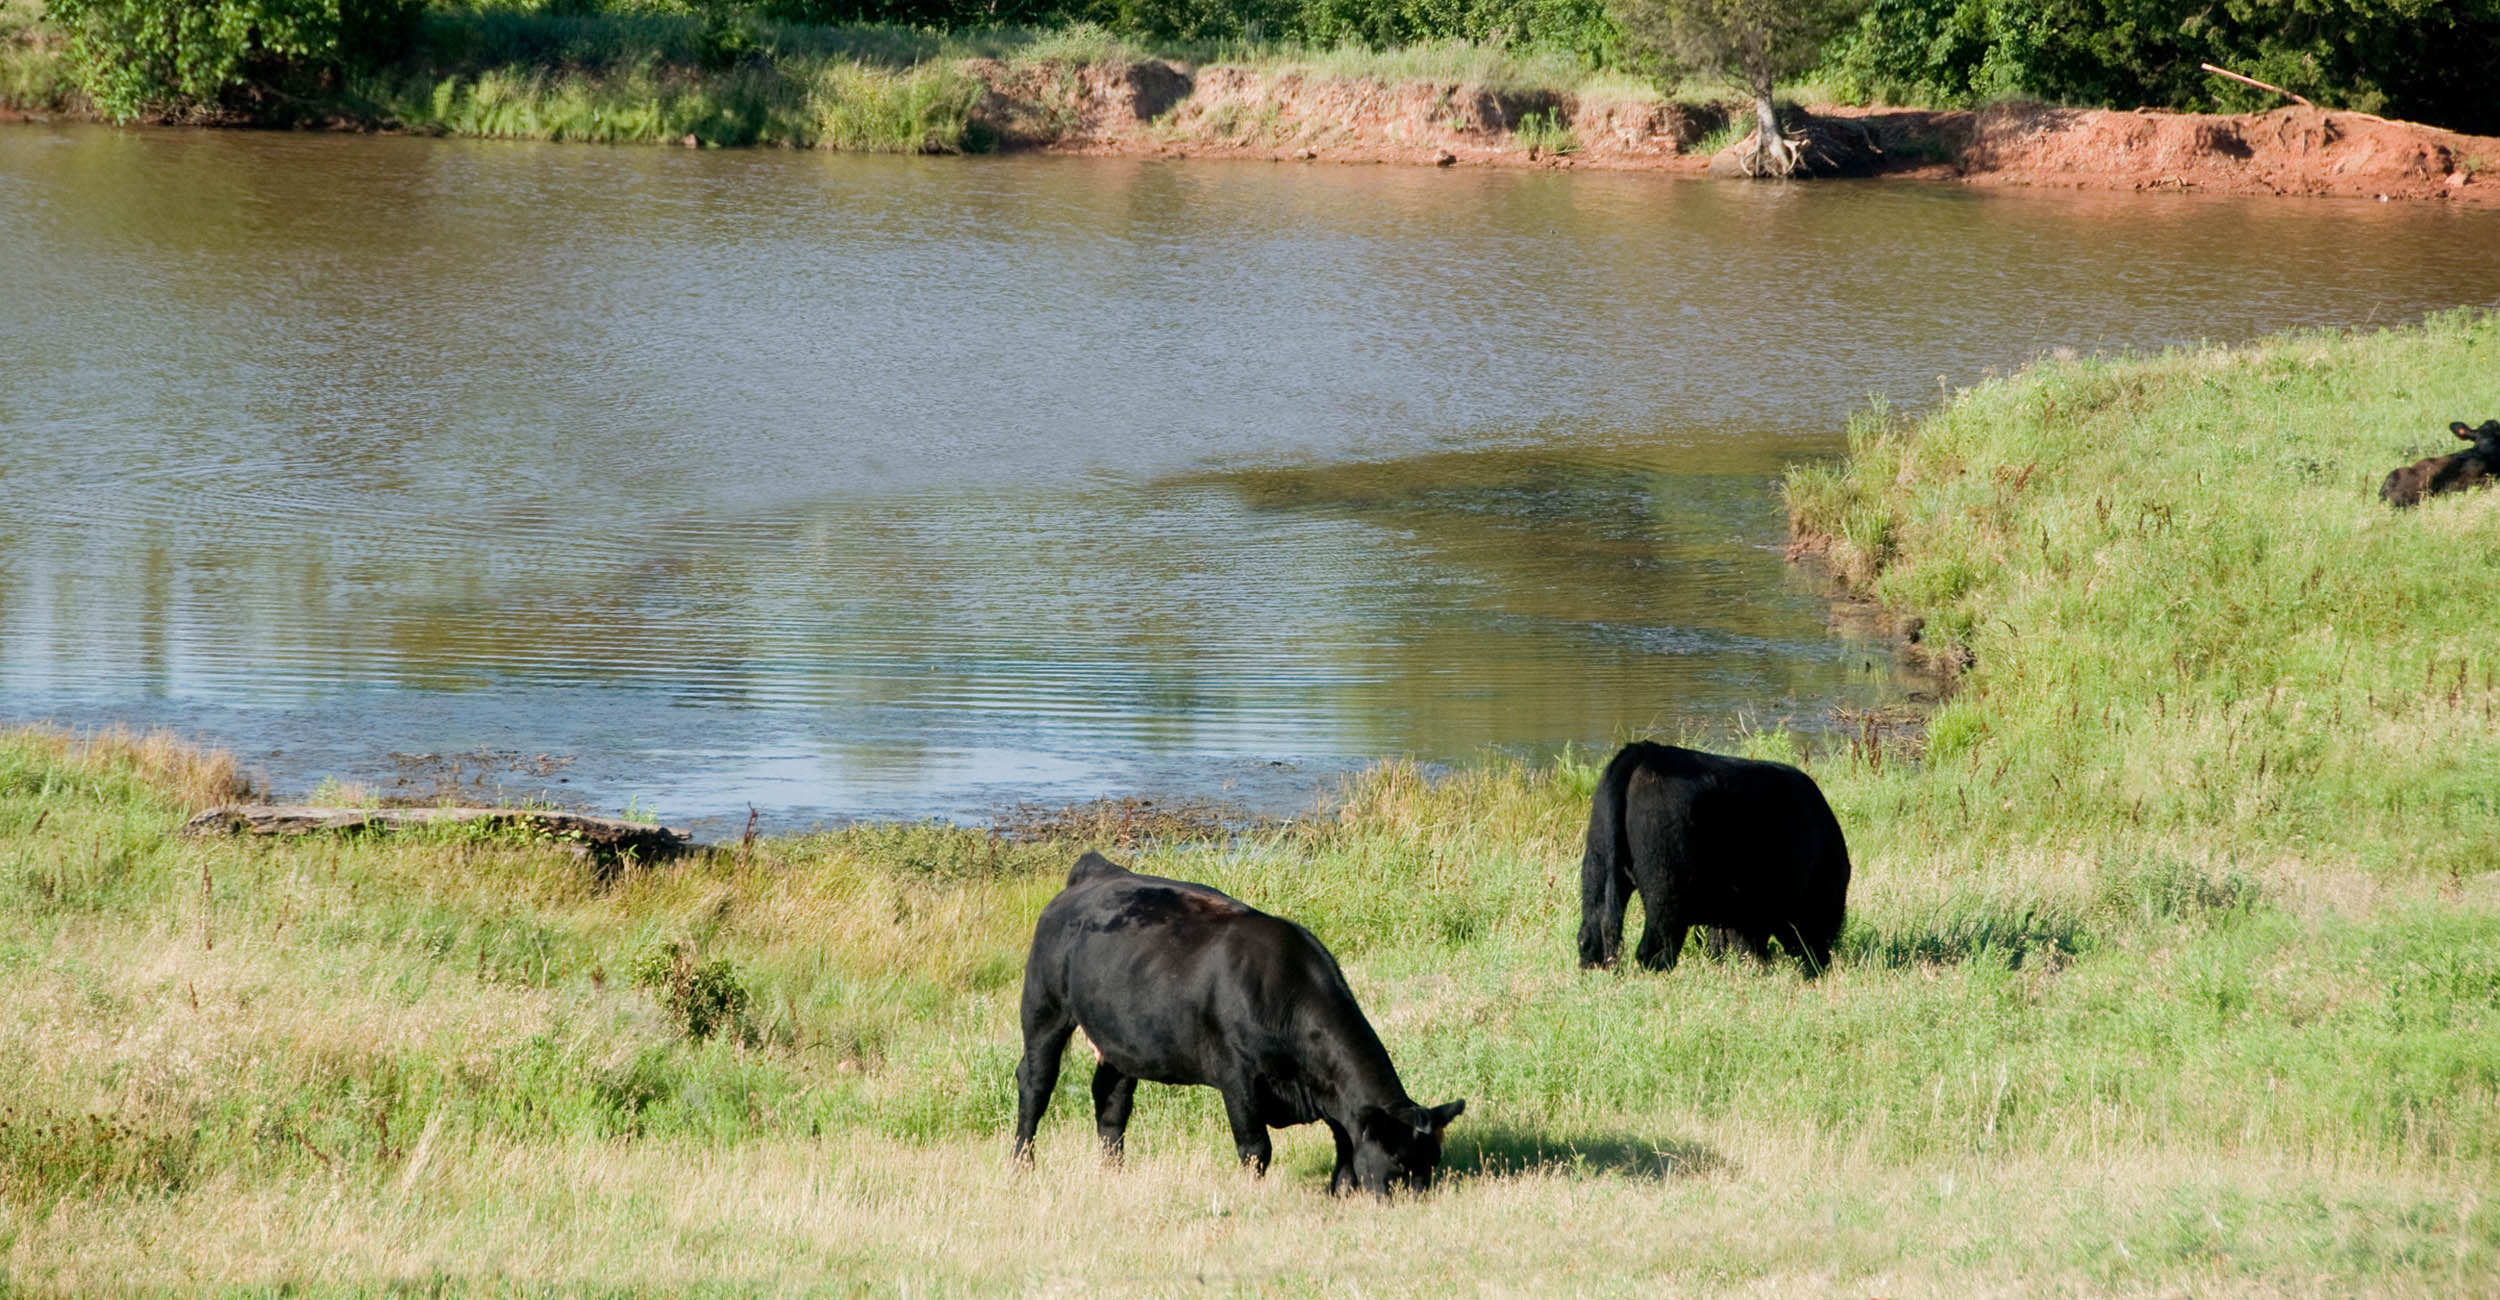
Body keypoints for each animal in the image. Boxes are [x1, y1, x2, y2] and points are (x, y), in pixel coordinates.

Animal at [1011, 852, 1464, 1196]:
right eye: (1398, 1161)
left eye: (1433, 1160)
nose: (1419, 1199)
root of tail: (1098, 870)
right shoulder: (1237, 1076)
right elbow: (1255, 1147)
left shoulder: (1332, 1093)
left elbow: (1345, 1144)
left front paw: (1339, 1191)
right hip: (1044, 1009)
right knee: (1035, 1084)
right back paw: (1022, 1165)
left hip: (1120, 1037)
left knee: (1111, 1099)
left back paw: (1112, 1171)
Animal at [1577, 741, 1850, 976]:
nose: (1822, 962)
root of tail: (1644, 752)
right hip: (1664, 892)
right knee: (1656, 947)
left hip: (1597, 868)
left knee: (1591, 933)